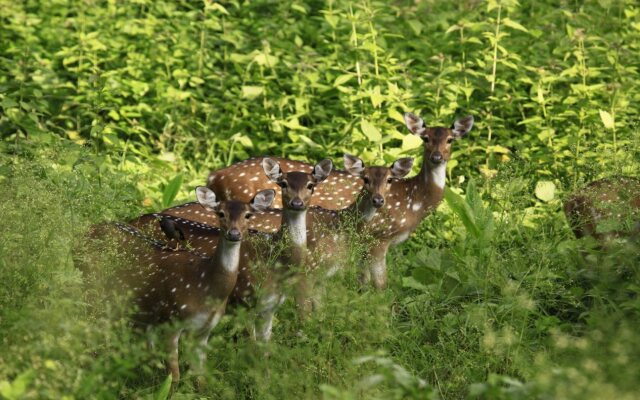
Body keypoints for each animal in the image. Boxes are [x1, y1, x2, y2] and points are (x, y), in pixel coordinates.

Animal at [105, 188, 276, 384]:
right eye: (221, 213)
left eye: (248, 215)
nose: (234, 234)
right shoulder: (172, 322)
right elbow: (175, 376)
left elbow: (201, 376)